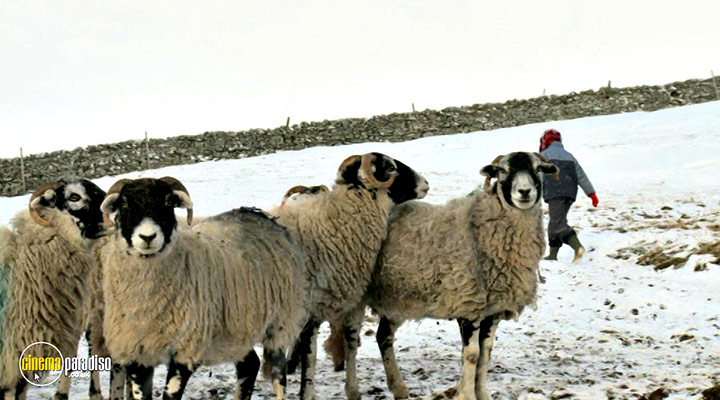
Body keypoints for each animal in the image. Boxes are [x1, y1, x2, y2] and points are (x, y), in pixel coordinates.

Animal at [98, 176, 308, 400]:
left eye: (168, 202)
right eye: (124, 204)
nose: (148, 237)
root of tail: (258, 214)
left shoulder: (186, 350)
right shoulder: (136, 353)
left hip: (279, 323)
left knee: (278, 375)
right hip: (235, 331)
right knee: (250, 365)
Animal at [270, 153, 429, 400]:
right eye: (390, 168)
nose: (425, 184)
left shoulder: (344, 304)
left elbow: (346, 344)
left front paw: (351, 389)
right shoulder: (309, 312)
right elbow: (310, 357)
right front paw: (307, 392)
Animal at [328, 152, 559, 400]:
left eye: (538, 169)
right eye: (503, 171)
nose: (524, 192)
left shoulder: (493, 311)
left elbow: (485, 354)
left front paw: (482, 393)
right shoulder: (468, 304)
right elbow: (472, 355)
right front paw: (466, 395)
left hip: (397, 298)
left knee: (383, 337)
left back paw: (398, 387)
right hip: (358, 295)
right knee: (352, 340)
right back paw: (353, 389)